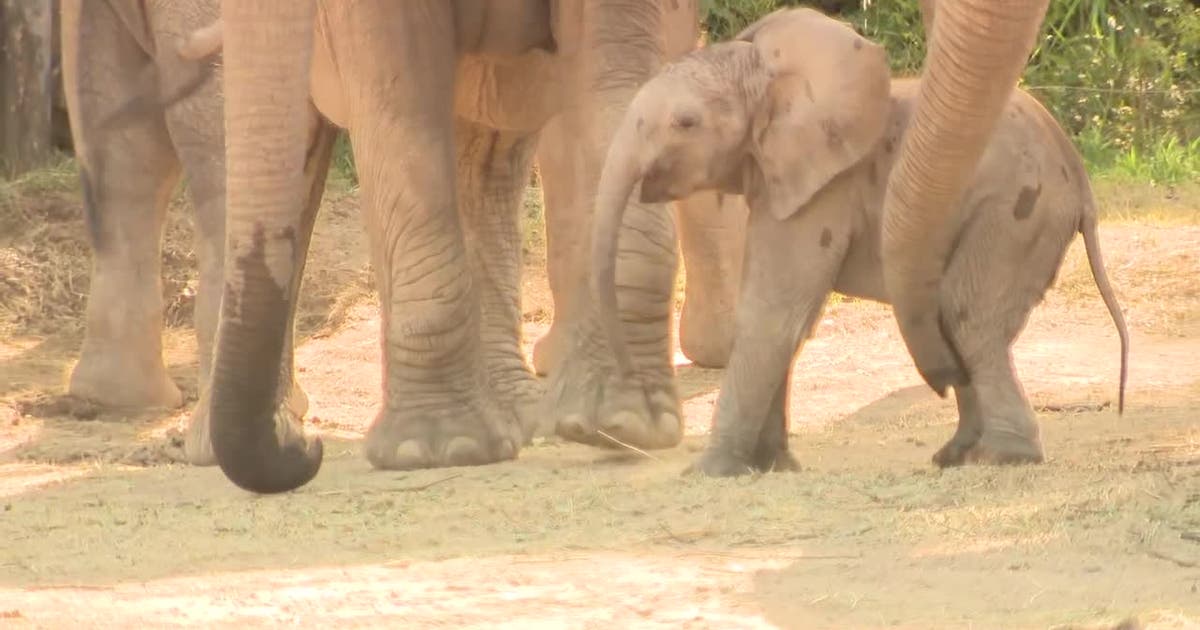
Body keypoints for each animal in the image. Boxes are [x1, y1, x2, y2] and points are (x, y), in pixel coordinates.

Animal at [590, 8, 1130, 475]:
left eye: (685, 123)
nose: (629, 416)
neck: (763, 71)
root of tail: (1079, 178)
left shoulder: (828, 186)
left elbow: (771, 312)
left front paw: (711, 472)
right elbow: (787, 316)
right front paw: (772, 467)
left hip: (1015, 214)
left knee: (967, 317)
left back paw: (1001, 458)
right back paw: (955, 455)